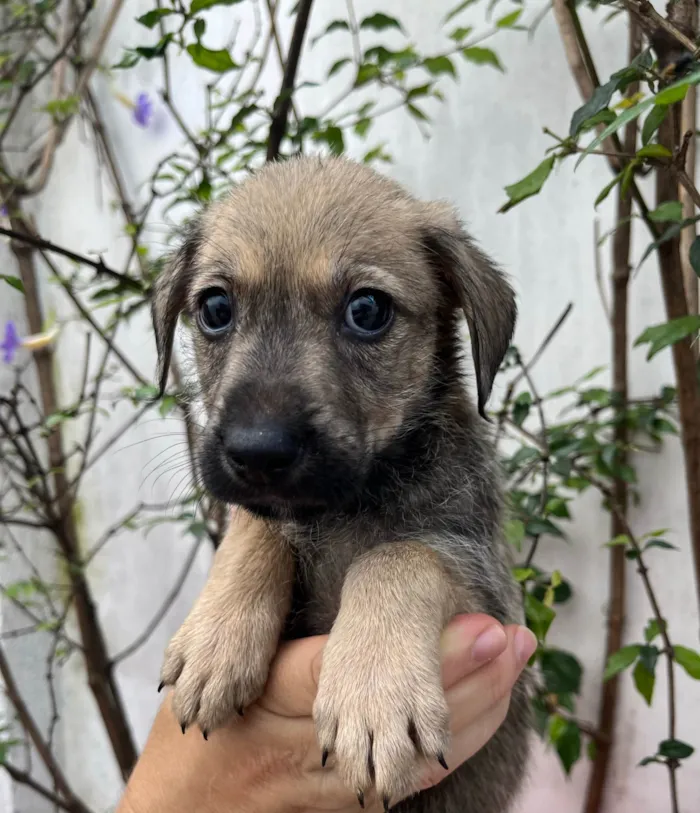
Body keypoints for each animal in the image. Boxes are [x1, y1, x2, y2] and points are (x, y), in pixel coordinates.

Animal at [152, 155, 532, 808]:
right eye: (216, 309)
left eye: (368, 310)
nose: (257, 451)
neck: (342, 510)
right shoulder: (270, 507)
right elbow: (258, 527)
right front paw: (213, 638)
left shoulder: (491, 594)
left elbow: (395, 556)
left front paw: (375, 697)